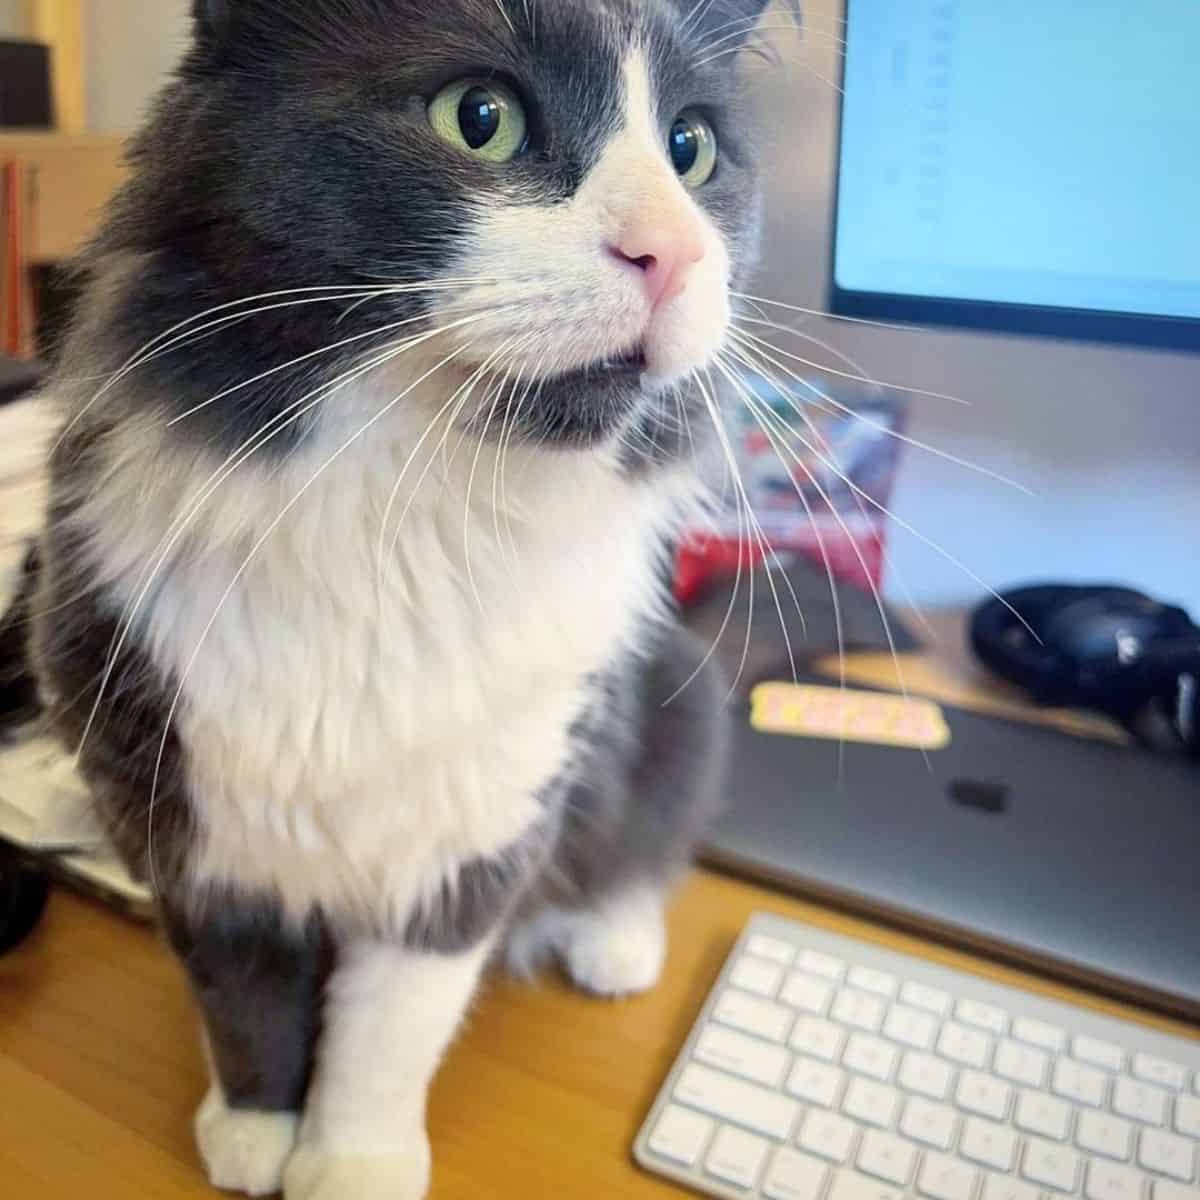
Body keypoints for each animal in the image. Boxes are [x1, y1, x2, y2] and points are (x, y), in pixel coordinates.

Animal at [28, 2, 777, 1200]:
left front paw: (350, 1161)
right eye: (481, 118)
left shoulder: (474, 837)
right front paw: (254, 1134)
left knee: (648, 840)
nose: (674, 251)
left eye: (691, 150)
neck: (405, 525)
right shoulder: (183, 825)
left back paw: (611, 946)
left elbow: (384, 1035)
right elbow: (243, 1005)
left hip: (678, 695)